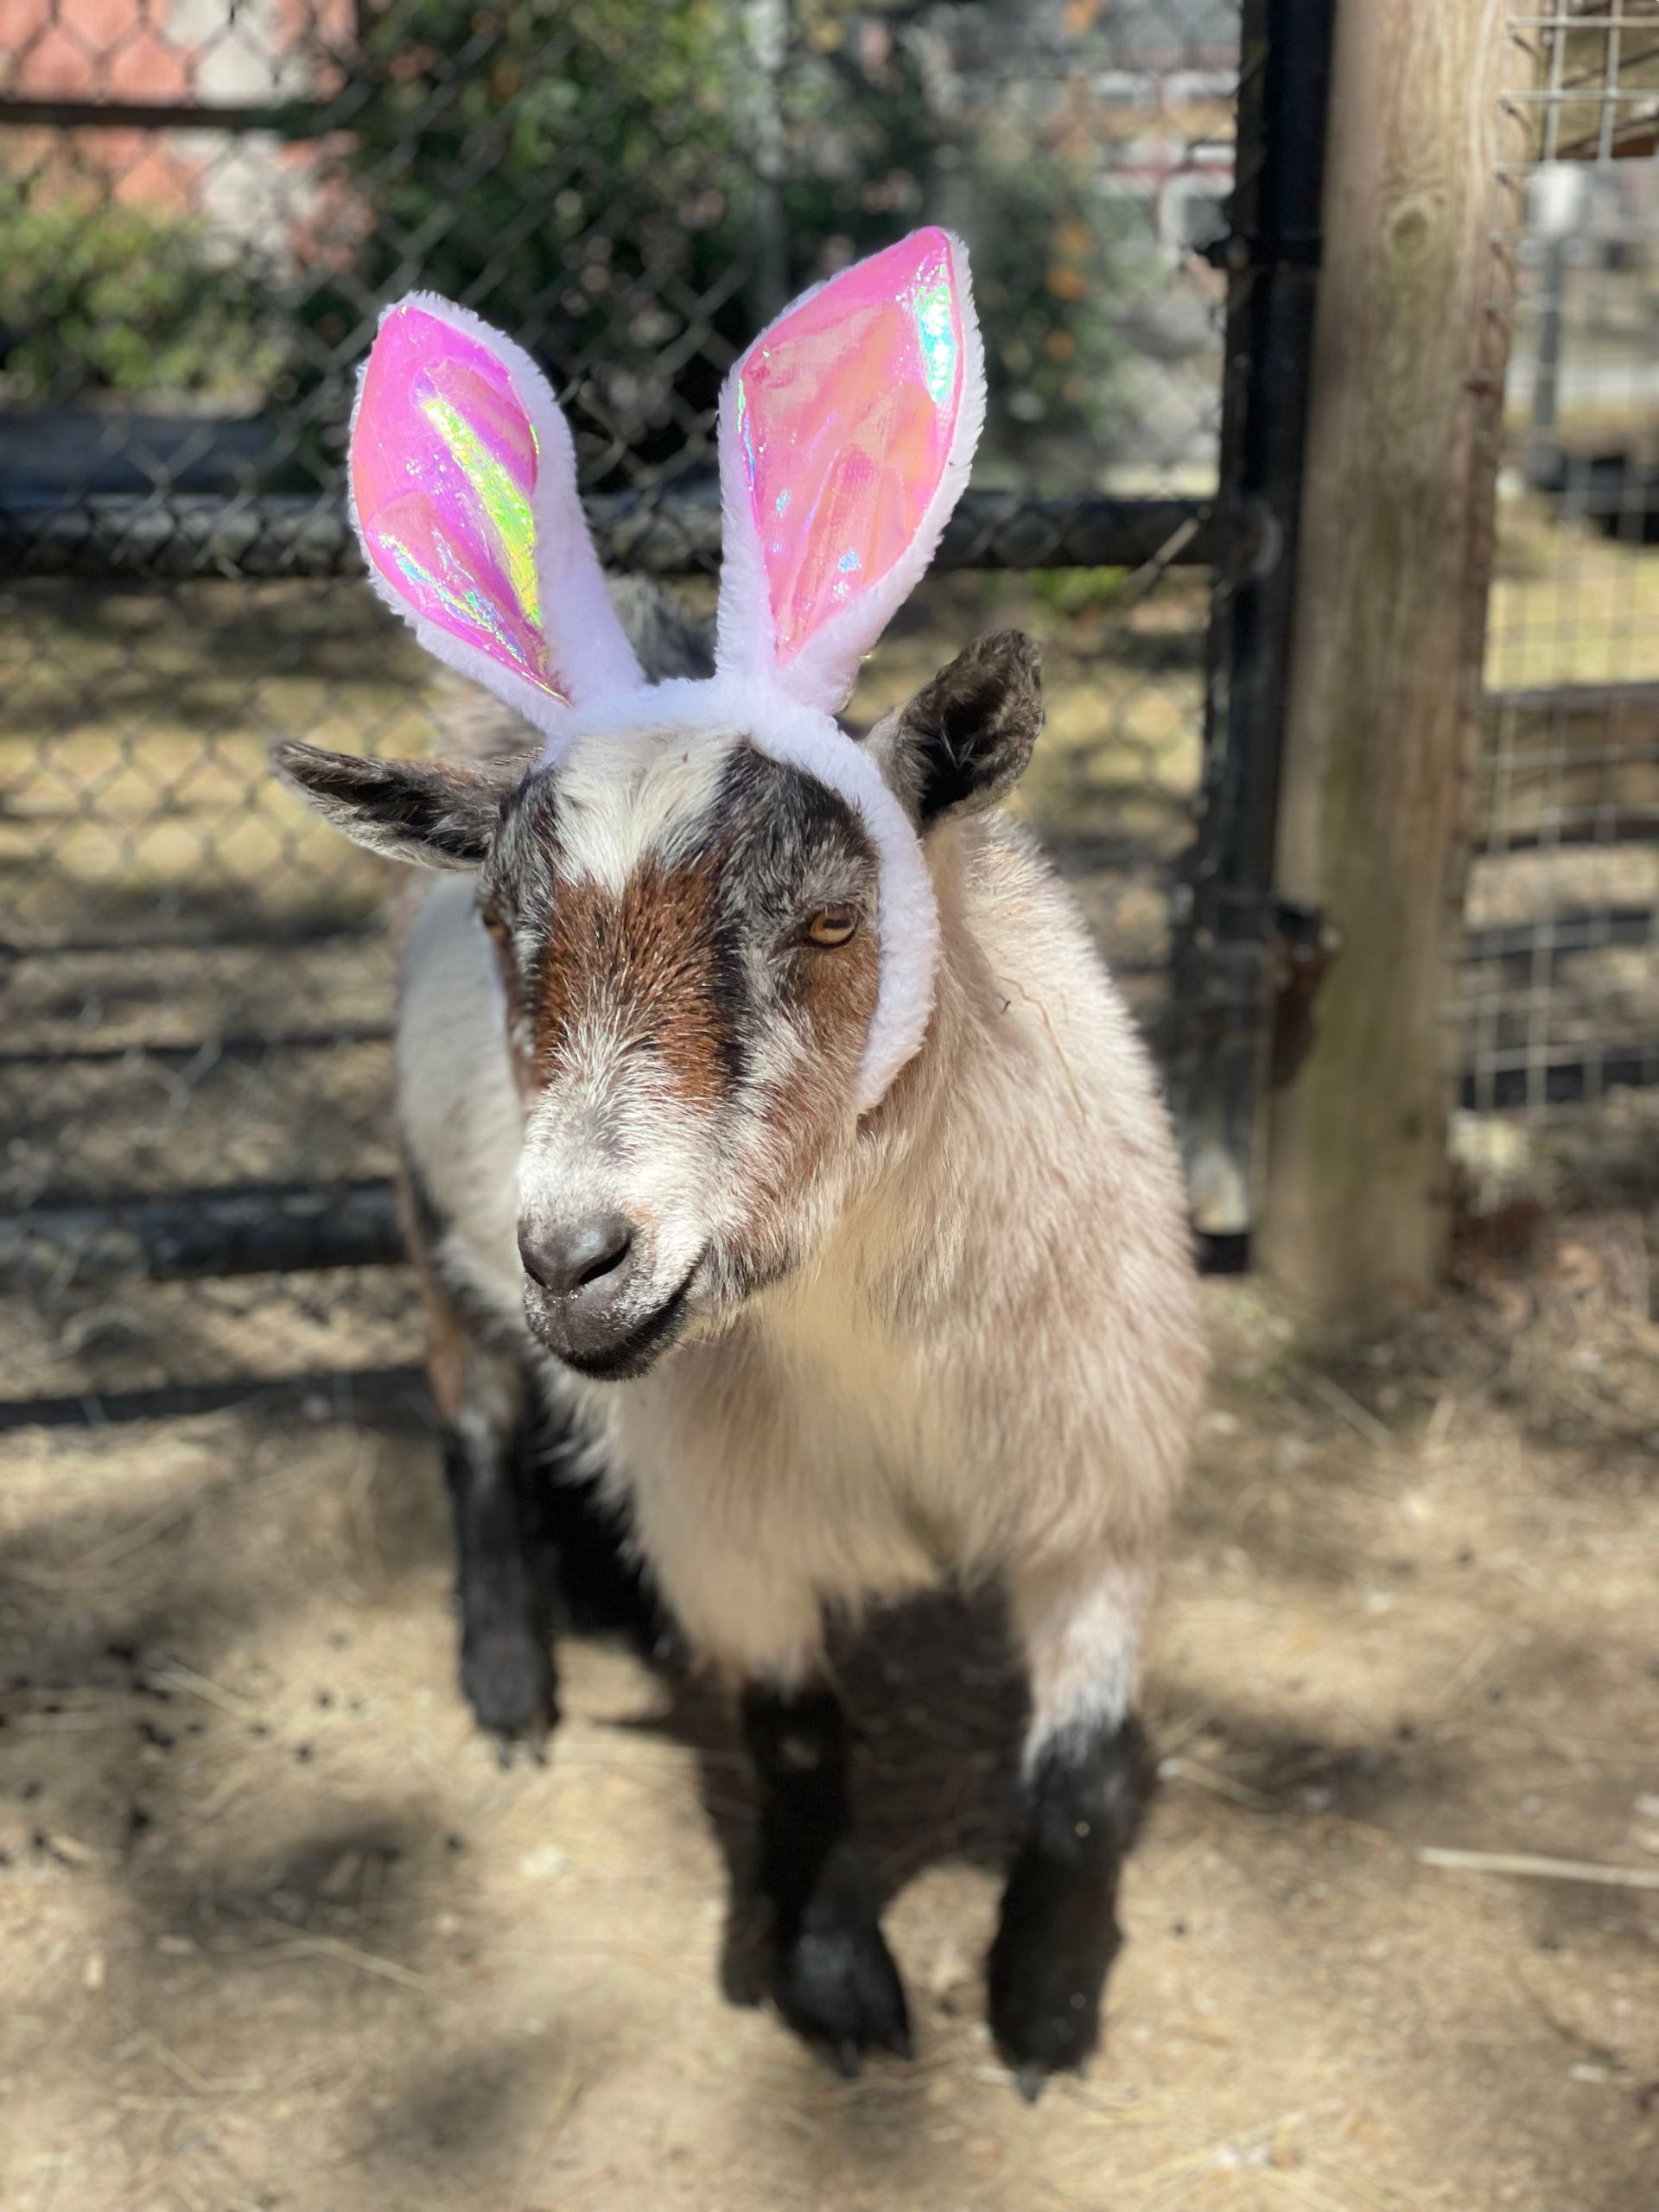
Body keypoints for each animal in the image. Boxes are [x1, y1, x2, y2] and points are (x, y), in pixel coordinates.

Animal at [275, 231, 1204, 2092]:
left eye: (837, 919)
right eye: (510, 932)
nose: (578, 1254)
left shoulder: (1097, 1476)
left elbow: (1079, 1774)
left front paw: (1044, 2014)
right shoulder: (745, 1524)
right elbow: (797, 1747)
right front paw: (840, 1985)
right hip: (431, 1226)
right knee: (470, 1423)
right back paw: (513, 1677)